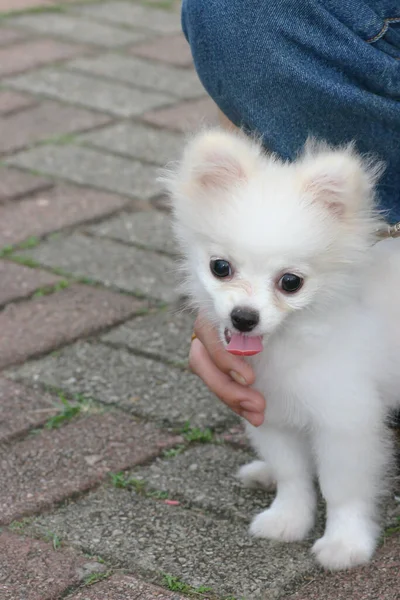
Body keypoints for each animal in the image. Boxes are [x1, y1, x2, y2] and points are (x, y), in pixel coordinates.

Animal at [163, 129, 400, 568]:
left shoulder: (346, 420)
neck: (296, 341)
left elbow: (341, 488)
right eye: (220, 267)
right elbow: (293, 475)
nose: (244, 317)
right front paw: (288, 518)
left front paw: (345, 543)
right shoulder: (268, 410)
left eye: (291, 282)